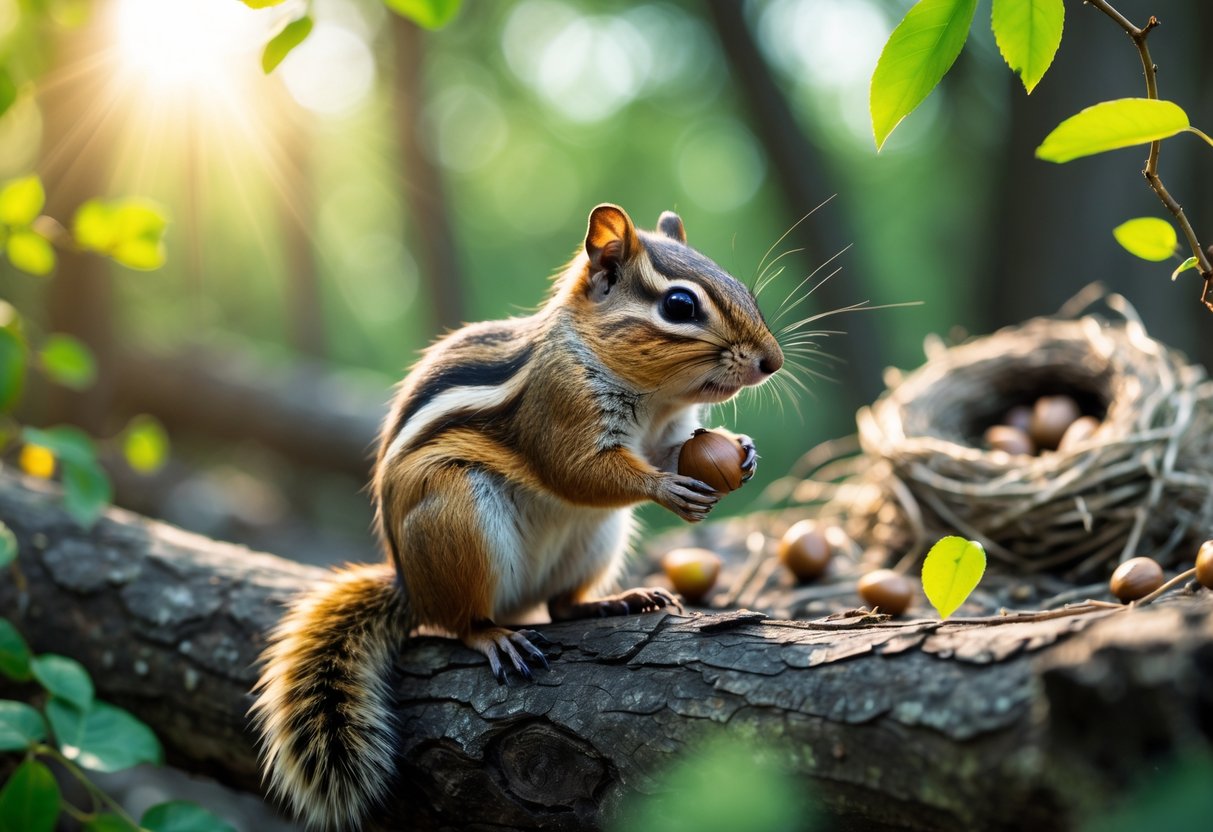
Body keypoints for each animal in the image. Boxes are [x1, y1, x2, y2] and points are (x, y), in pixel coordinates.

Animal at [250, 204, 784, 829]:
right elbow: (578, 471)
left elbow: (670, 450)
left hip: (596, 539)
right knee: (460, 621)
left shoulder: (668, 432)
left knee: (559, 605)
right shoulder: (558, 407)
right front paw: (666, 486)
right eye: (679, 306)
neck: (654, 398)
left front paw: (743, 451)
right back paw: (495, 636)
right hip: (457, 516)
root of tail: (410, 587)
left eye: (741, 287)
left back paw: (616, 601)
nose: (772, 362)